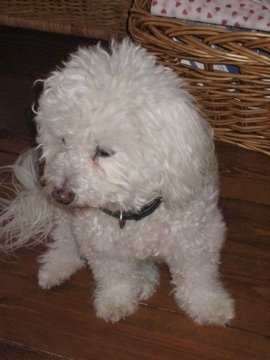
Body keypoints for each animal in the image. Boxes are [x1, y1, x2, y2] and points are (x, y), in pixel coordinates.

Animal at [0, 38, 234, 324]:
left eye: (103, 152)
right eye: (63, 141)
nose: (61, 194)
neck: (134, 212)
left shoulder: (197, 239)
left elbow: (197, 276)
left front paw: (210, 305)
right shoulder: (102, 245)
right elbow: (115, 276)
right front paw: (115, 301)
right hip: (68, 221)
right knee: (65, 242)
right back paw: (57, 268)